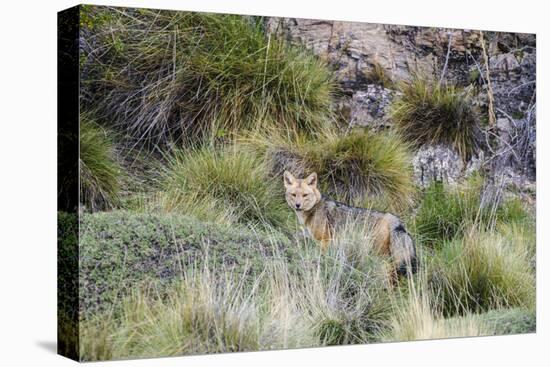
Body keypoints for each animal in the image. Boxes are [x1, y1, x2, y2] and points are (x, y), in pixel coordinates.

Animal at [284, 170, 418, 278]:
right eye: (294, 195)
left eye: (305, 195)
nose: (297, 205)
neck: (314, 208)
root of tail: (393, 218)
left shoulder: (325, 241)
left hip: (380, 255)